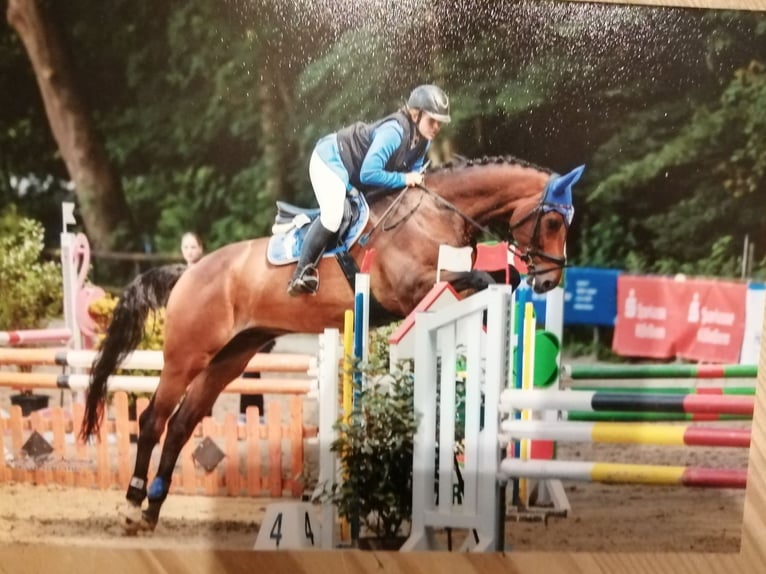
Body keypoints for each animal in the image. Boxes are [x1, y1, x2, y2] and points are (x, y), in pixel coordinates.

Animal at [79, 155, 583, 533]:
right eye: (552, 221)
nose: (549, 282)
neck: (437, 213)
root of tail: (188, 273)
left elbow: (486, 280)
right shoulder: (415, 289)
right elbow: (477, 280)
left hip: (230, 358)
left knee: (182, 424)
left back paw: (152, 509)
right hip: (187, 356)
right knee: (153, 419)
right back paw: (133, 503)